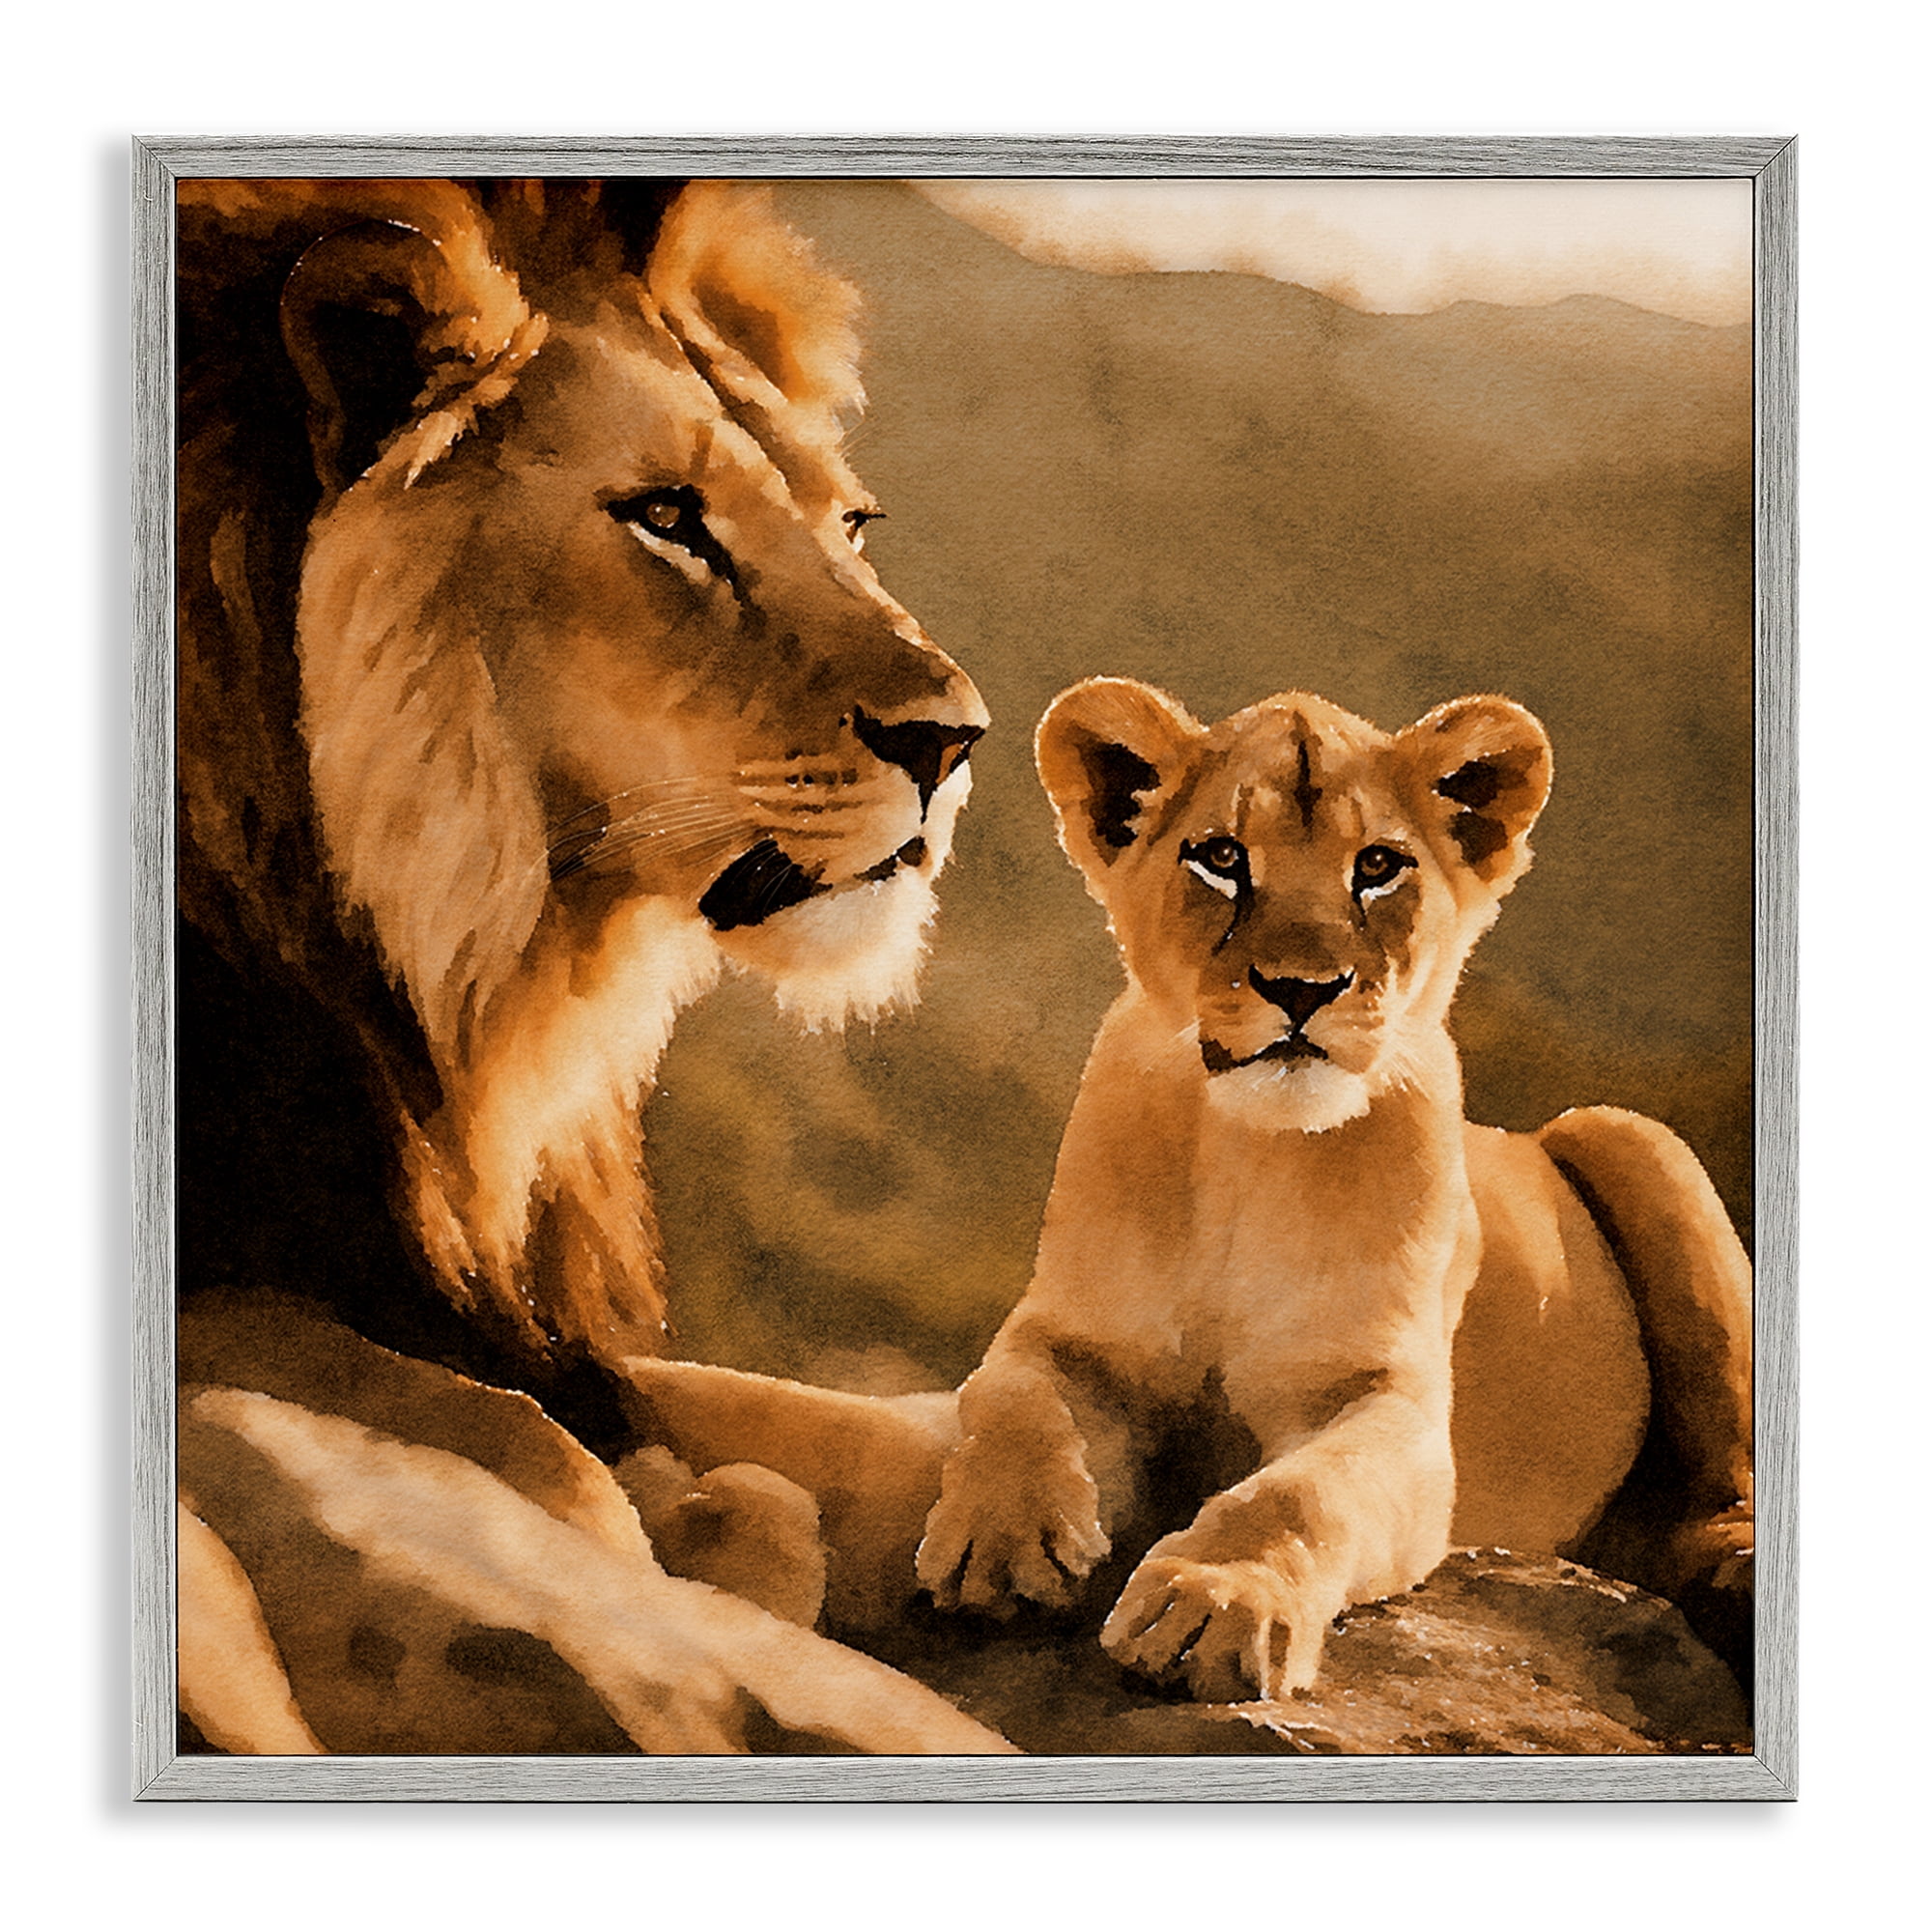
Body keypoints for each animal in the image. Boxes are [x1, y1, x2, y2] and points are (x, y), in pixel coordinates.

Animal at [173, 176, 1001, 1754]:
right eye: (668, 518)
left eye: (851, 521)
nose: (954, 740)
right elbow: (545, 1461)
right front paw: (699, 1549)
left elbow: (856, 1429)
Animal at [907, 679, 1754, 1703]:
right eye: (1222, 858)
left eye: (1379, 866)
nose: (1302, 987)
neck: (1252, 1156)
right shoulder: (1069, 1332)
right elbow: (1012, 1402)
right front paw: (1001, 1541)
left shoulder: (1394, 1405)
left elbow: (1297, 1494)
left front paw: (1213, 1603)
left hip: (1629, 1133)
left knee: (1730, 1480)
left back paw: (1731, 1565)